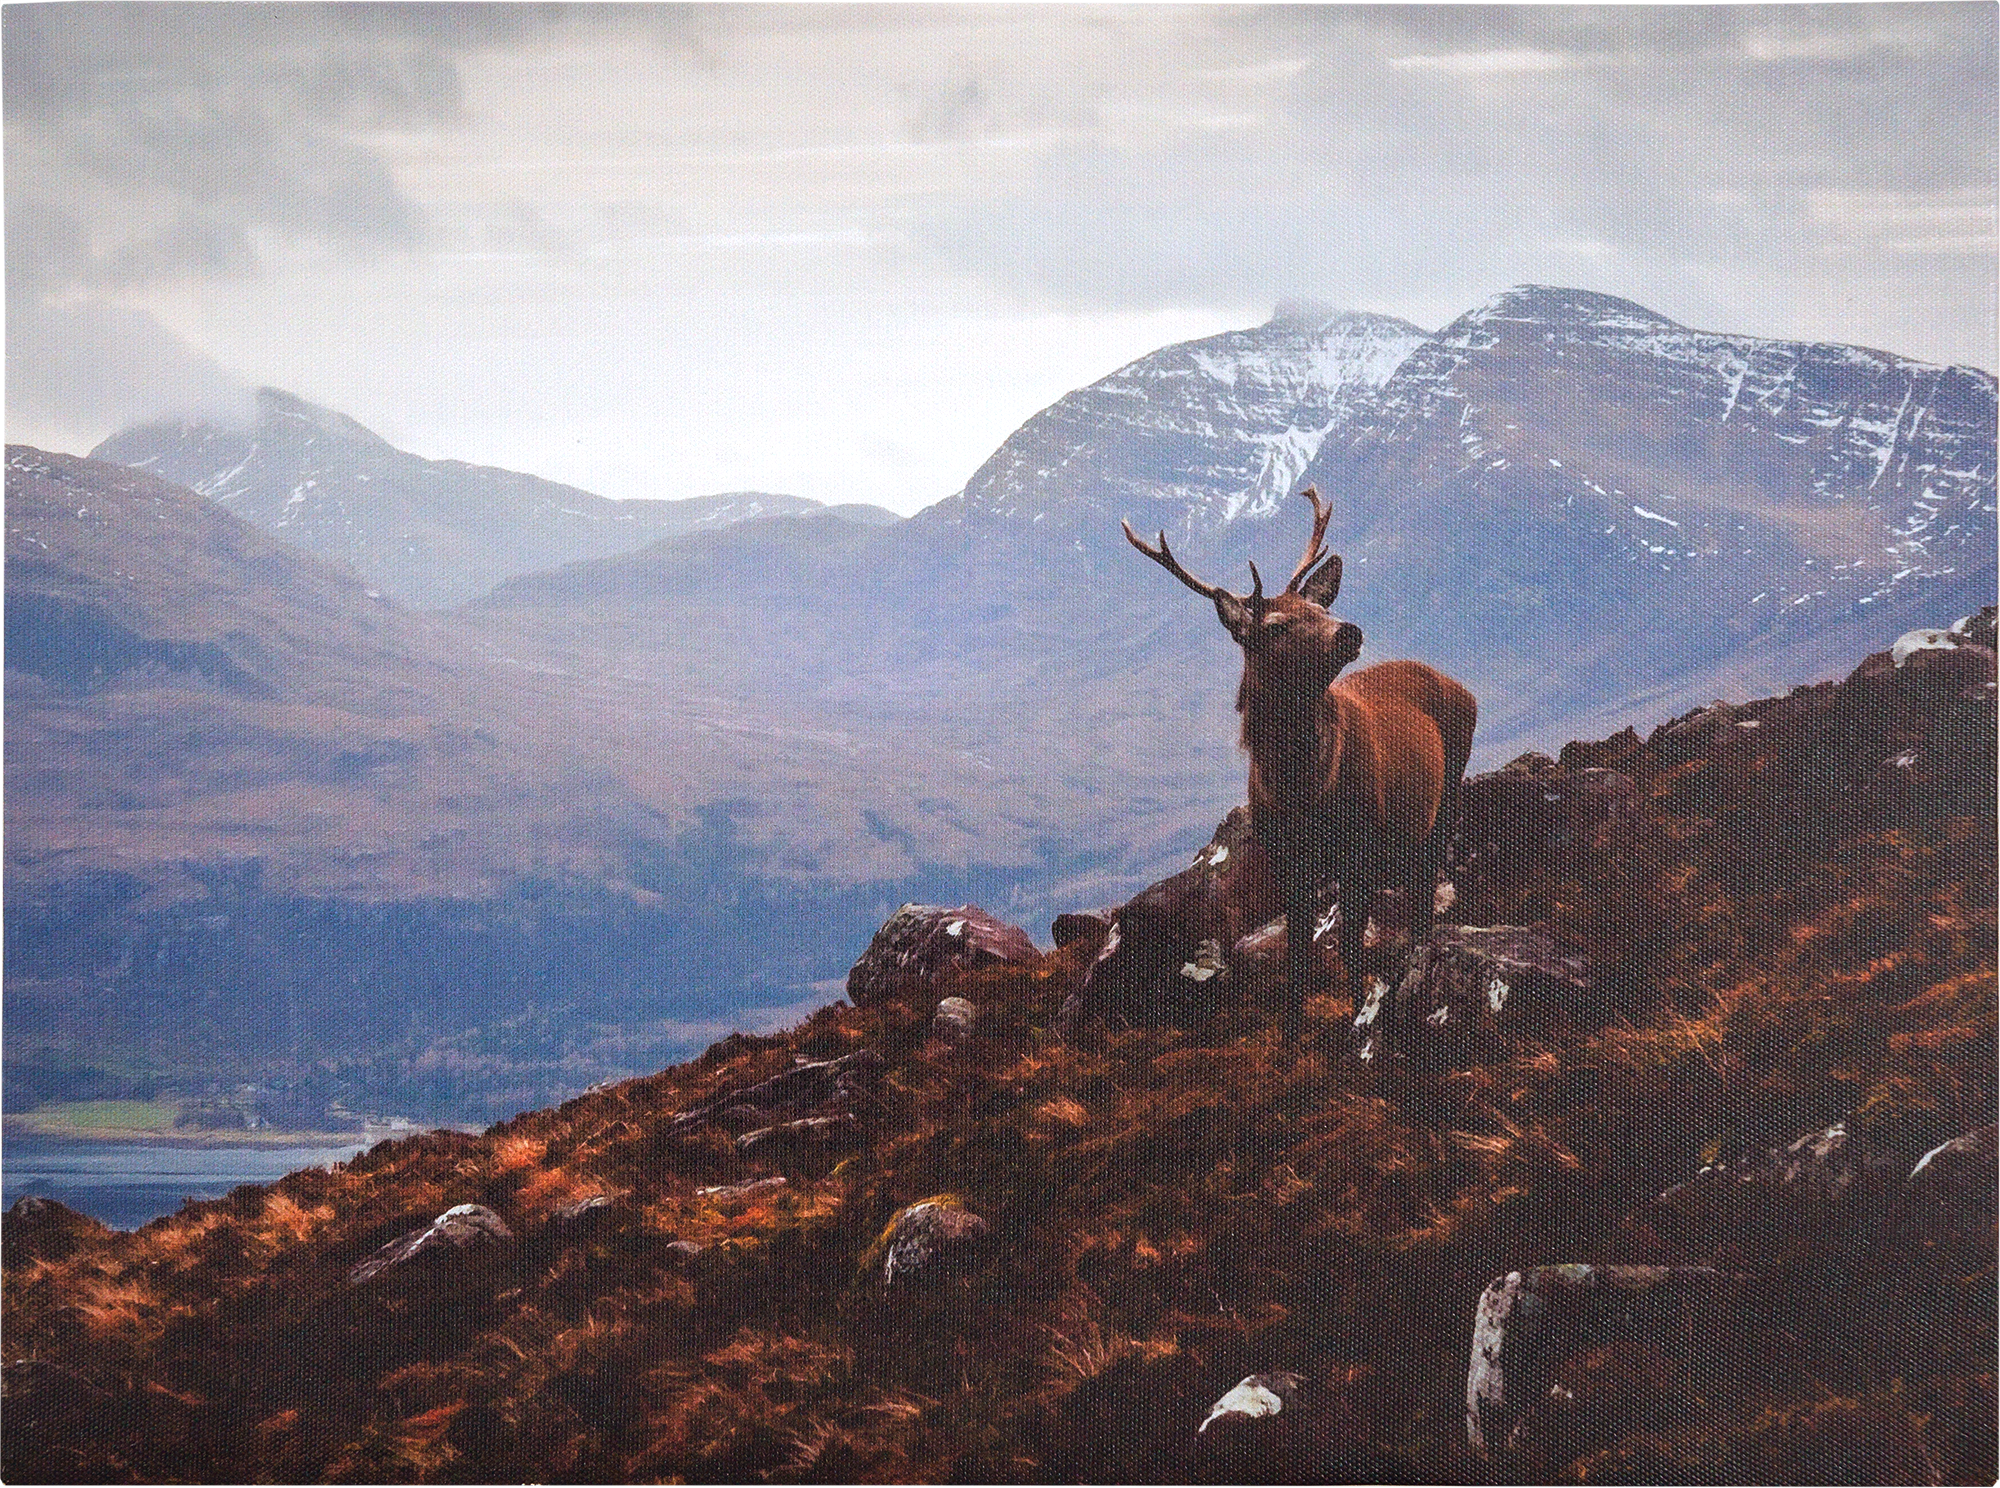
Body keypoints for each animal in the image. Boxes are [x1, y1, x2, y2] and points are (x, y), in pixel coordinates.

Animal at [1136, 488, 1480, 1032]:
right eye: (1276, 625)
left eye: (1316, 606)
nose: (1348, 631)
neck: (1302, 791)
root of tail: (1464, 689)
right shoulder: (1283, 859)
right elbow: (1297, 953)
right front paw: (1292, 1033)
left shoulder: (1359, 848)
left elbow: (1351, 946)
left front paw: (1357, 1018)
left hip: (1447, 792)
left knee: (1428, 885)